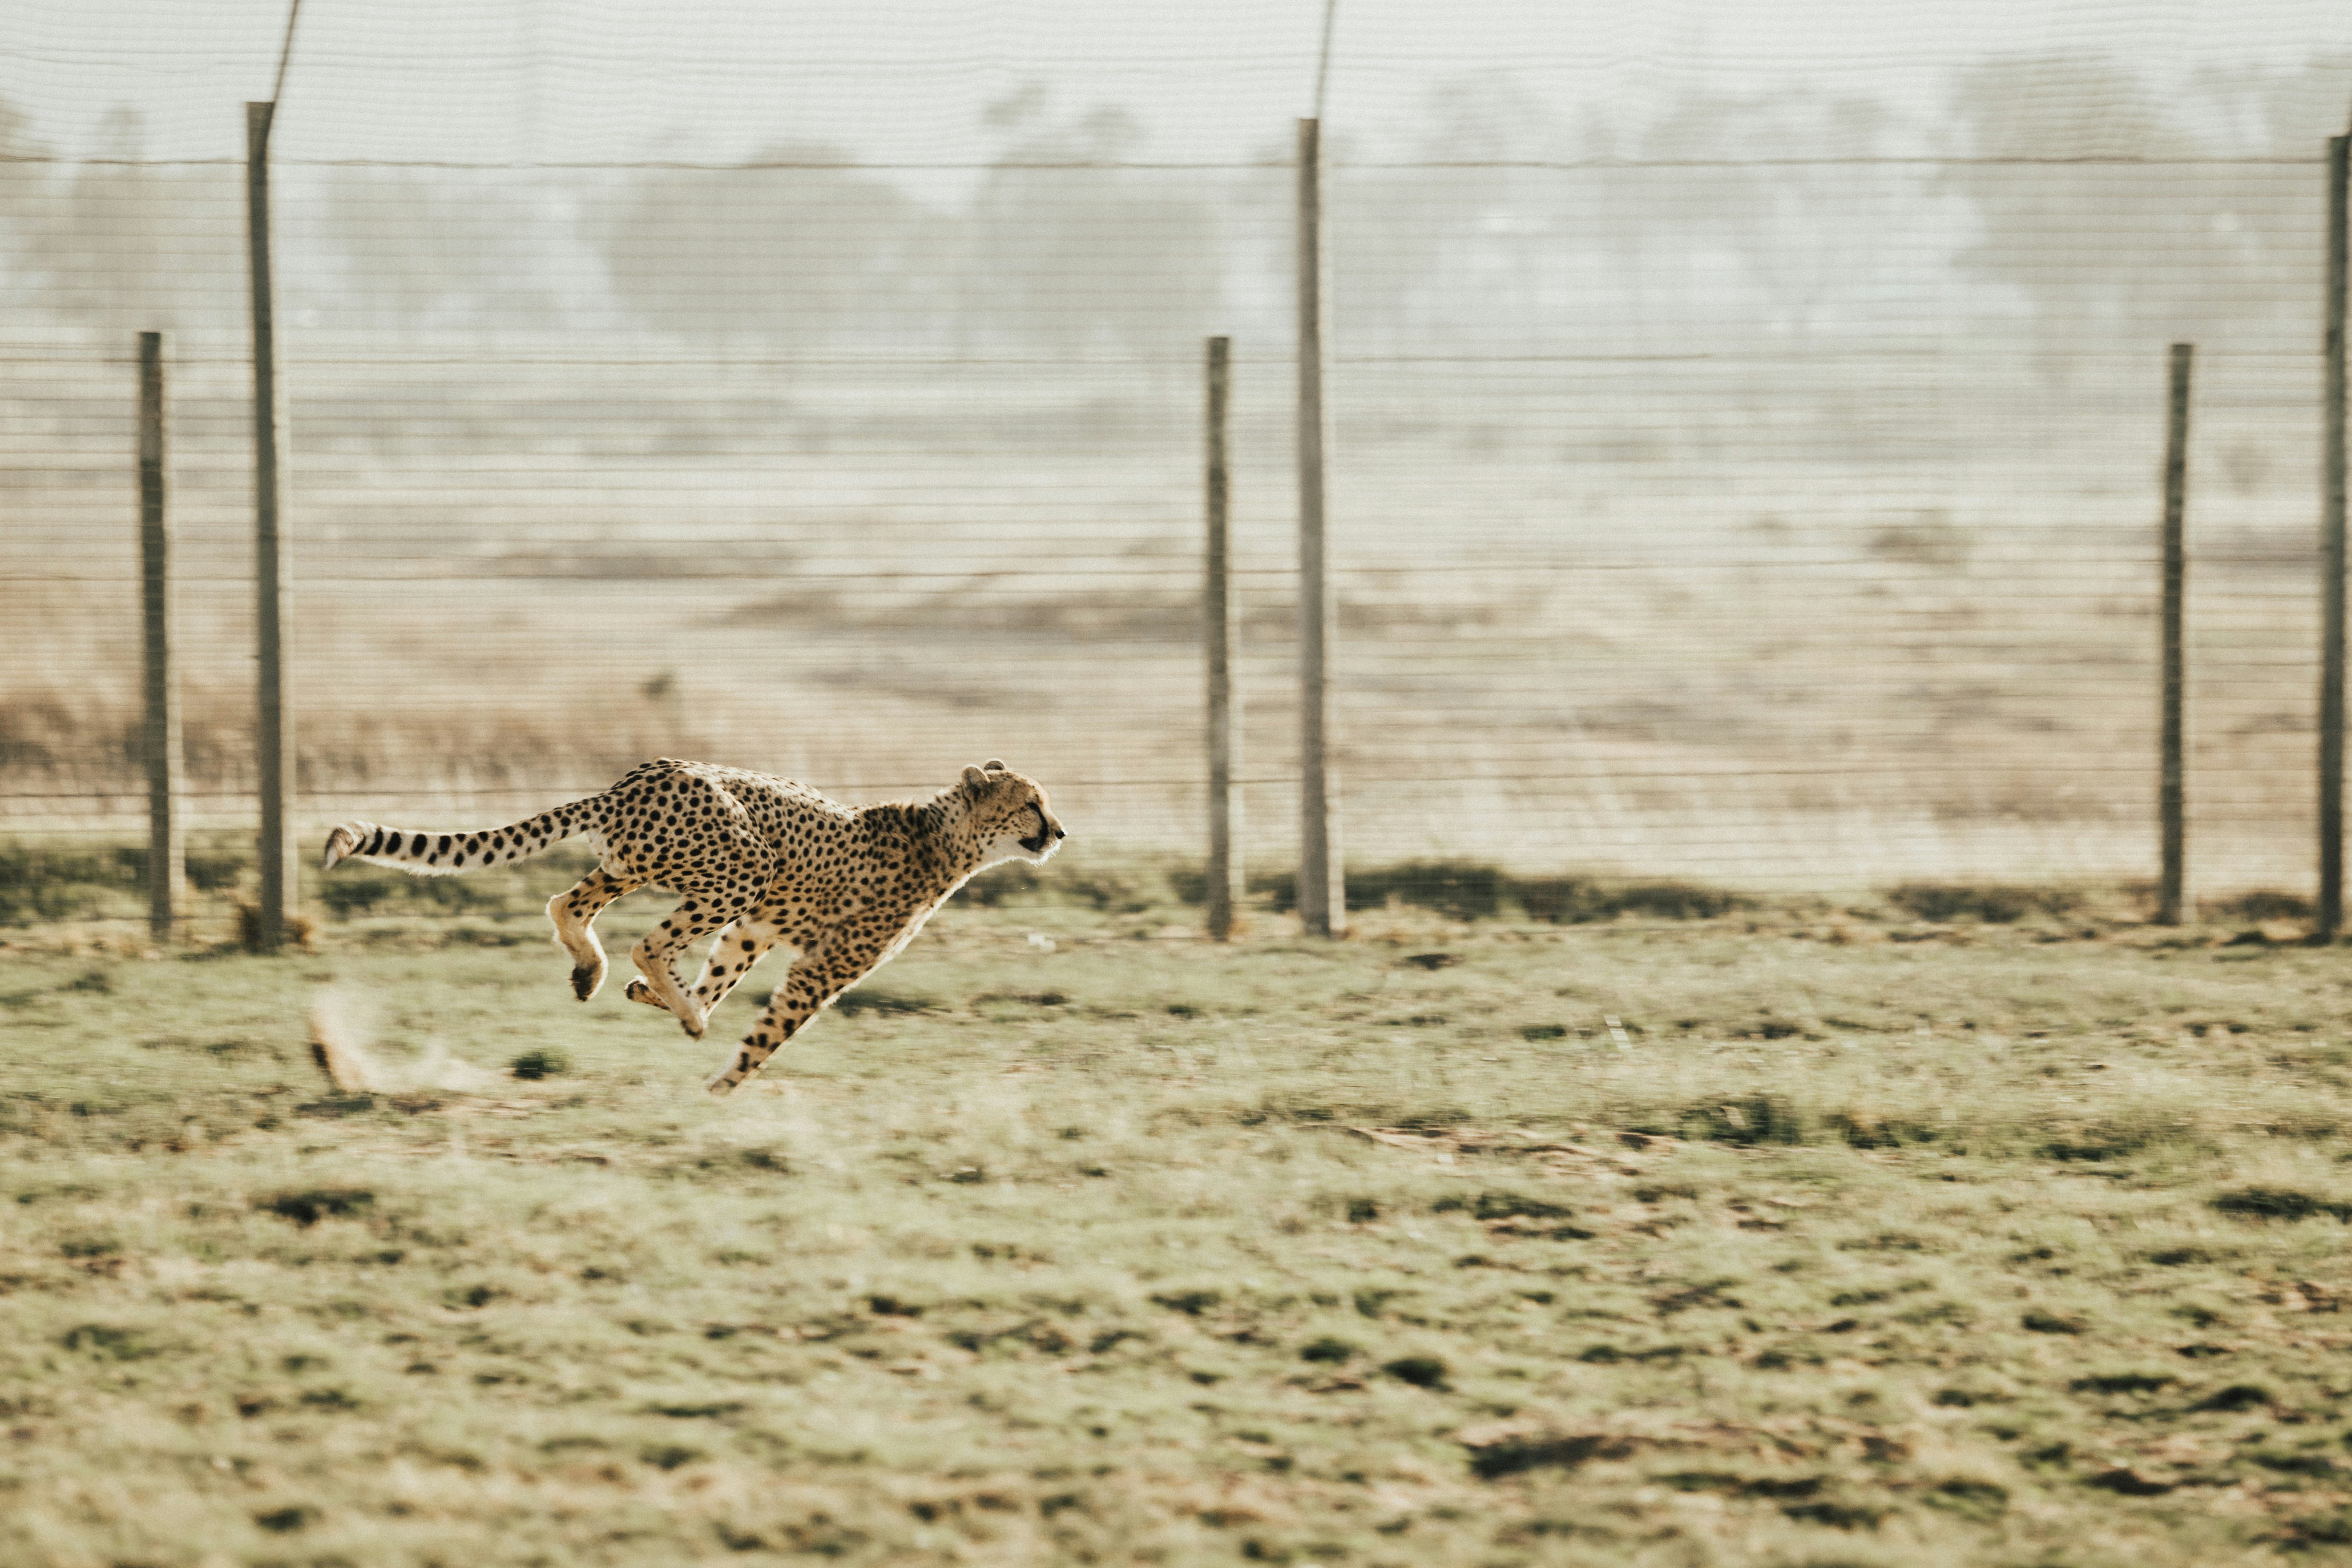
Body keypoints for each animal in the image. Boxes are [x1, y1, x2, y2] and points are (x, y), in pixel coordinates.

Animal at [320, 757, 1068, 1091]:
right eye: (1030, 804)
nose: (1059, 831)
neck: (945, 836)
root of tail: (637, 777)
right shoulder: (820, 965)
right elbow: (769, 1031)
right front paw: (720, 1086)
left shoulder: (756, 929)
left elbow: (723, 974)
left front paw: (669, 1004)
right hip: (743, 864)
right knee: (646, 941)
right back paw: (671, 1003)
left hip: (636, 865)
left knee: (568, 904)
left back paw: (599, 975)